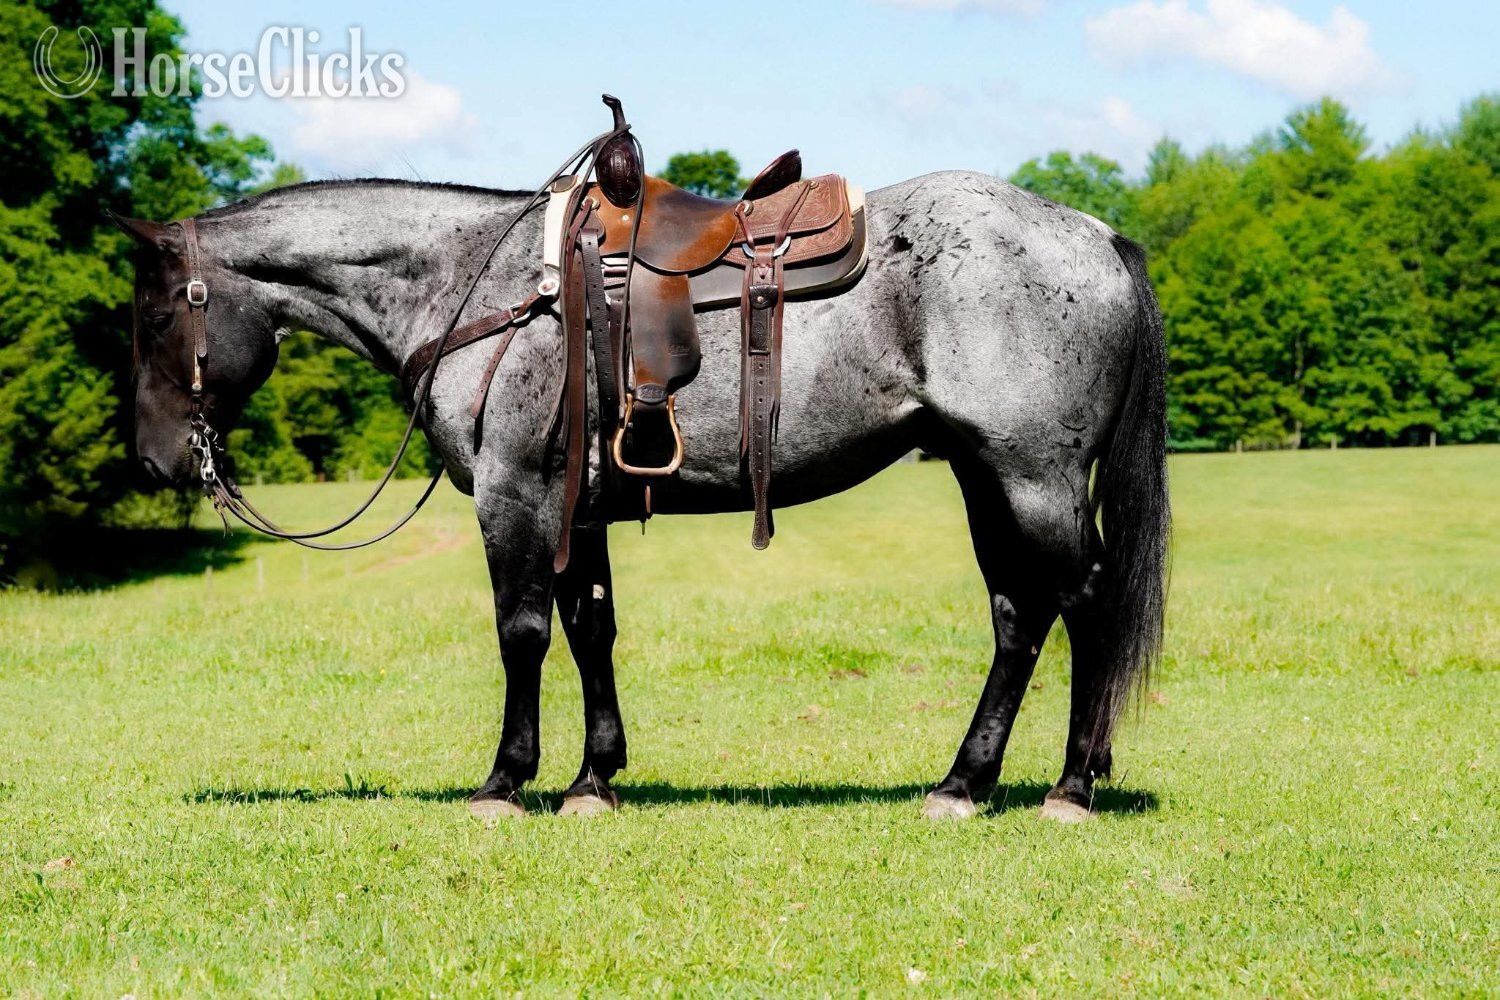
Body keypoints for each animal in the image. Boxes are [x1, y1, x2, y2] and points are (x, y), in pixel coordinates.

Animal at [113, 168, 1168, 822]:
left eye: (158, 316)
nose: (155, 461)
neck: (480, 288)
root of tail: (1092, 232)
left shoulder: (515, 496)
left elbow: (524, 632)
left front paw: (507, 780)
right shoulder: (576, 510)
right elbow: (591, 630)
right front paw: (594, 777)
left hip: (1032, 480)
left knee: (1081, 604)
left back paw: (1071, 785)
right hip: (987, 478)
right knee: (1018, 617)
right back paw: (965, 779)